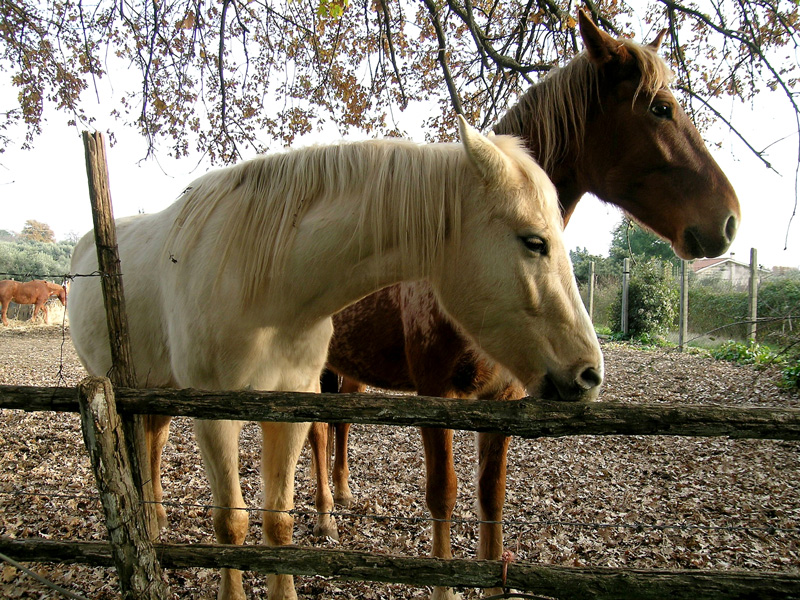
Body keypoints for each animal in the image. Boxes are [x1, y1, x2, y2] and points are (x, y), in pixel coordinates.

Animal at [68, 116, 603, 600]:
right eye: (534, 241)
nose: (589, 374)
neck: (263, 283)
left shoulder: (288, 407)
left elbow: (278, 525)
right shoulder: (215, 416)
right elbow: (232, 525)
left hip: (159, 389)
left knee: (152, 440)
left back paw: (154, 521)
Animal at [309, 11, 741, 600]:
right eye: (660, 108)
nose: (728, 219)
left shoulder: (505, 400)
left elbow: (491, 498)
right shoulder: (434, 394)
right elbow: (443, 495)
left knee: (341, 425)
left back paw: (344, 494)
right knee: (313, 432)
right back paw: (325, 516)